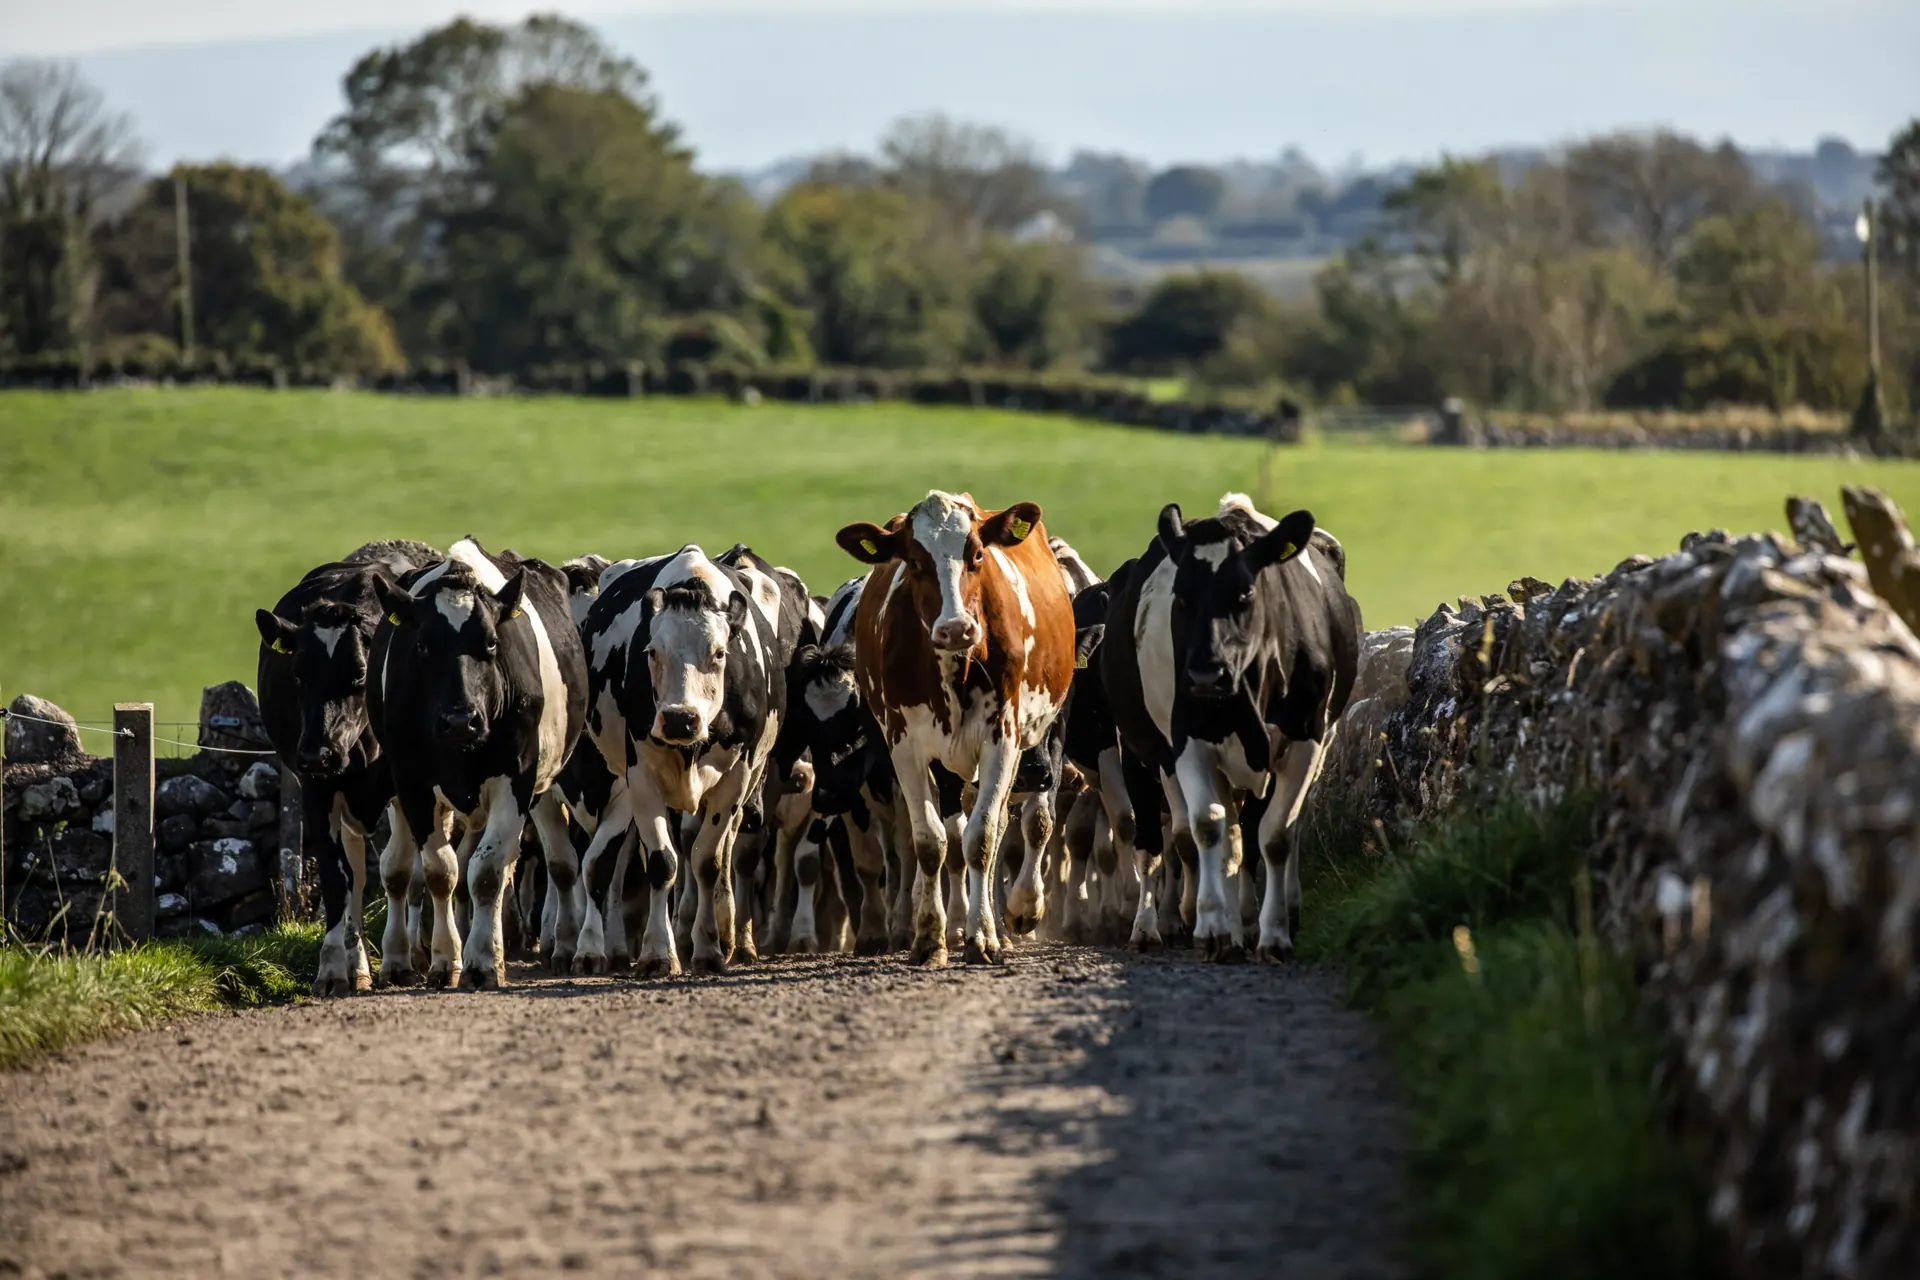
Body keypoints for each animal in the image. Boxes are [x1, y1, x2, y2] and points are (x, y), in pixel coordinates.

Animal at [255, 540, 443, 995]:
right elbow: (338, 880)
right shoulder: (317, 791)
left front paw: (398, 960)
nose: (315, 754)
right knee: (356, 878)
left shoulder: (406, 785)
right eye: (298, 673)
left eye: (360, 674)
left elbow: (399, 872)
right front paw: (332, 969)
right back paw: (358, 966)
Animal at [369, 536, 588, 989]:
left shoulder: (517, 778)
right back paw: (398, 959)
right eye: (421, 645)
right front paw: (445, 960)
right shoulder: (412, 780)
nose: (459, 720)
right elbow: (441, 871)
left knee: (535, 864)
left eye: (491, 643)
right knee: (399, 868)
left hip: (539, 786)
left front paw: (482, 962)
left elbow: (487, 872)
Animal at [577, 544, 785, 977]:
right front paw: (658, 952)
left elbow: (707, 860)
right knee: (612, 860)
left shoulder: (737, 777)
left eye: (719, 653)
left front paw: (707, 948)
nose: (679, 718)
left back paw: (724, 935)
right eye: (652, 651)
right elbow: (662, 862)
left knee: (720, 851)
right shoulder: (640, 775)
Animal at [835, 491, 1075, 966]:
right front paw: (931, 937)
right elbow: (931, 842)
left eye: (977, 555)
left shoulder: (1004, 740)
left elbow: (982, 838)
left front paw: (983, 937)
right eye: (913, 560)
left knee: (1008, 827)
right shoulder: (905, 745)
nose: (956, 628)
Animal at [1101, 493, 1360, 962]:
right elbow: (1207, 827)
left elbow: (1275, 835)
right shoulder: (1188, 742)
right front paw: (1213, 929)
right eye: (1182, 596)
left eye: (1246, 592)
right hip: (1141, 751)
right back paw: (1156, 927)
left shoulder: (1306, 740)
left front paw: (1273, 933)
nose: (1206, 676)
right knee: (1166, 844)